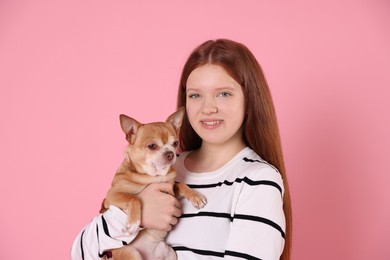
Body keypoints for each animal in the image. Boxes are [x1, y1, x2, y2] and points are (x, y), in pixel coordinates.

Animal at [99, 106, 206, 258]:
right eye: (152, 146)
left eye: (175, 144)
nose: (170, 153)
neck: (155, 176)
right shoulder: (111, 197)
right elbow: (134, 198)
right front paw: (134, 222)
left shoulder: (170, 188)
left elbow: (181, 184)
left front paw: (196, 196)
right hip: (131, 252)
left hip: (170, 254)